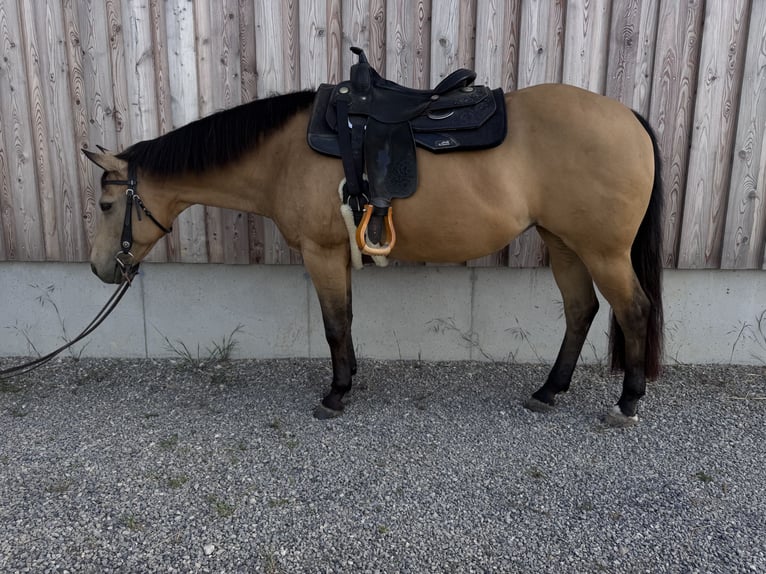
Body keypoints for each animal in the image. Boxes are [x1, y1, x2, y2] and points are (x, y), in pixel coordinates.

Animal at [85, 82, 664, 426]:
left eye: (107, 204)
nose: (98, 267)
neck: (282, 153)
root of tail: (628, 116)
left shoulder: (320, 253)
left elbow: (333, 324)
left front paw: (336, 394)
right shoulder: (337, 255)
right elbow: (346, 319)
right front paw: (351, 377)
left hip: (603, 250)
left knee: (634, 310)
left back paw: (628, 401)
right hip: (563, 242)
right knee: (581, 310)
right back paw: (549, 390)